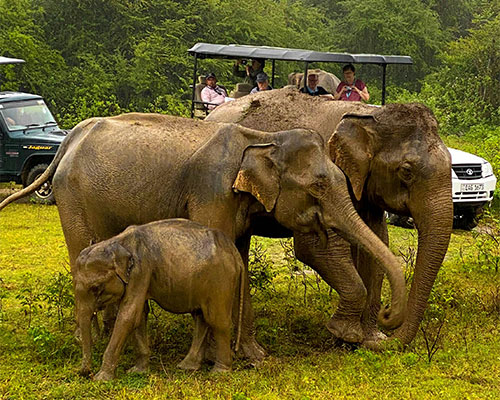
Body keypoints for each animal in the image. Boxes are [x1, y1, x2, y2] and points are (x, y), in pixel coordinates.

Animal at [0, 111, 406, 362]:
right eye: (319, 186)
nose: (387, 316)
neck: (263, 139)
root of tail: (69, 139)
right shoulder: (212, 193)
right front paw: (219, 357)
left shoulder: (237, 203)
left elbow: (237, 260)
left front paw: (254, 357)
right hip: (72, 197)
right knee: (81, 255)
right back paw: (96, 340)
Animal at [74, 219, 244, 382]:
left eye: (96, 287)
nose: (86, 373)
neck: (116, 242)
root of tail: (234, 252)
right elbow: (140, 315)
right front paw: (137, 371)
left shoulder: (141, 270)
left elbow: (129, 315)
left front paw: (101, 379)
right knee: (200, 318)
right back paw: (187, 367)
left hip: (220, 279)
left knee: (217, 320)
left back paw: (219, 372)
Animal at [207, 88, 454, 346]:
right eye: (406, 171)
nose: (387, 316)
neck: (369, 116)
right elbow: (316, 249)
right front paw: (346, 334)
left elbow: (376, 244)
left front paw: (370, 340)